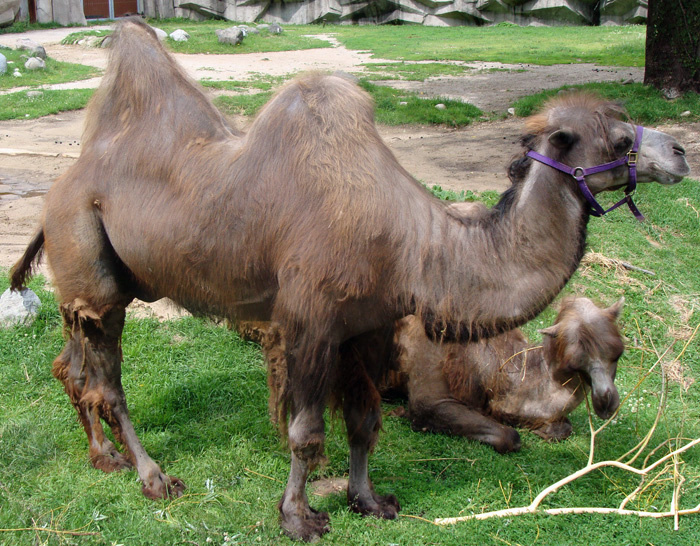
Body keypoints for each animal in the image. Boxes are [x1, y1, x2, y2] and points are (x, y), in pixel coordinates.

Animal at [9, 18, 688, 540]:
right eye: (620, 138)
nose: (681, 152)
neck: (411, 243)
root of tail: (58, 190)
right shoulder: (311, 320)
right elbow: (307, 432)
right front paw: (298, 518)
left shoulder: (370, 324)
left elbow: (365, 422)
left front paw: (370, 501)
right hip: (89, 255)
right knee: (110, 383)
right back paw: (153, 477)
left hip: (93, 280)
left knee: (74, 365)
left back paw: (104, 459)